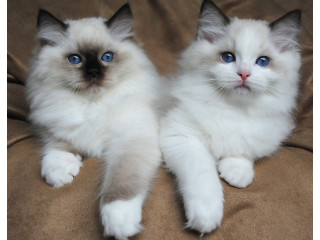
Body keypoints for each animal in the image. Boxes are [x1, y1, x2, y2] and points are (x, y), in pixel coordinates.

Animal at [160, 0, 302, 234]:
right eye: (228, 57)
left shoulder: (267, 131)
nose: (244, 74)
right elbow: (203, 175)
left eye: (263, 61)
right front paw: (206, 215)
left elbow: (246, 148)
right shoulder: (181, 136)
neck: (234, 108)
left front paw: (236, 172)